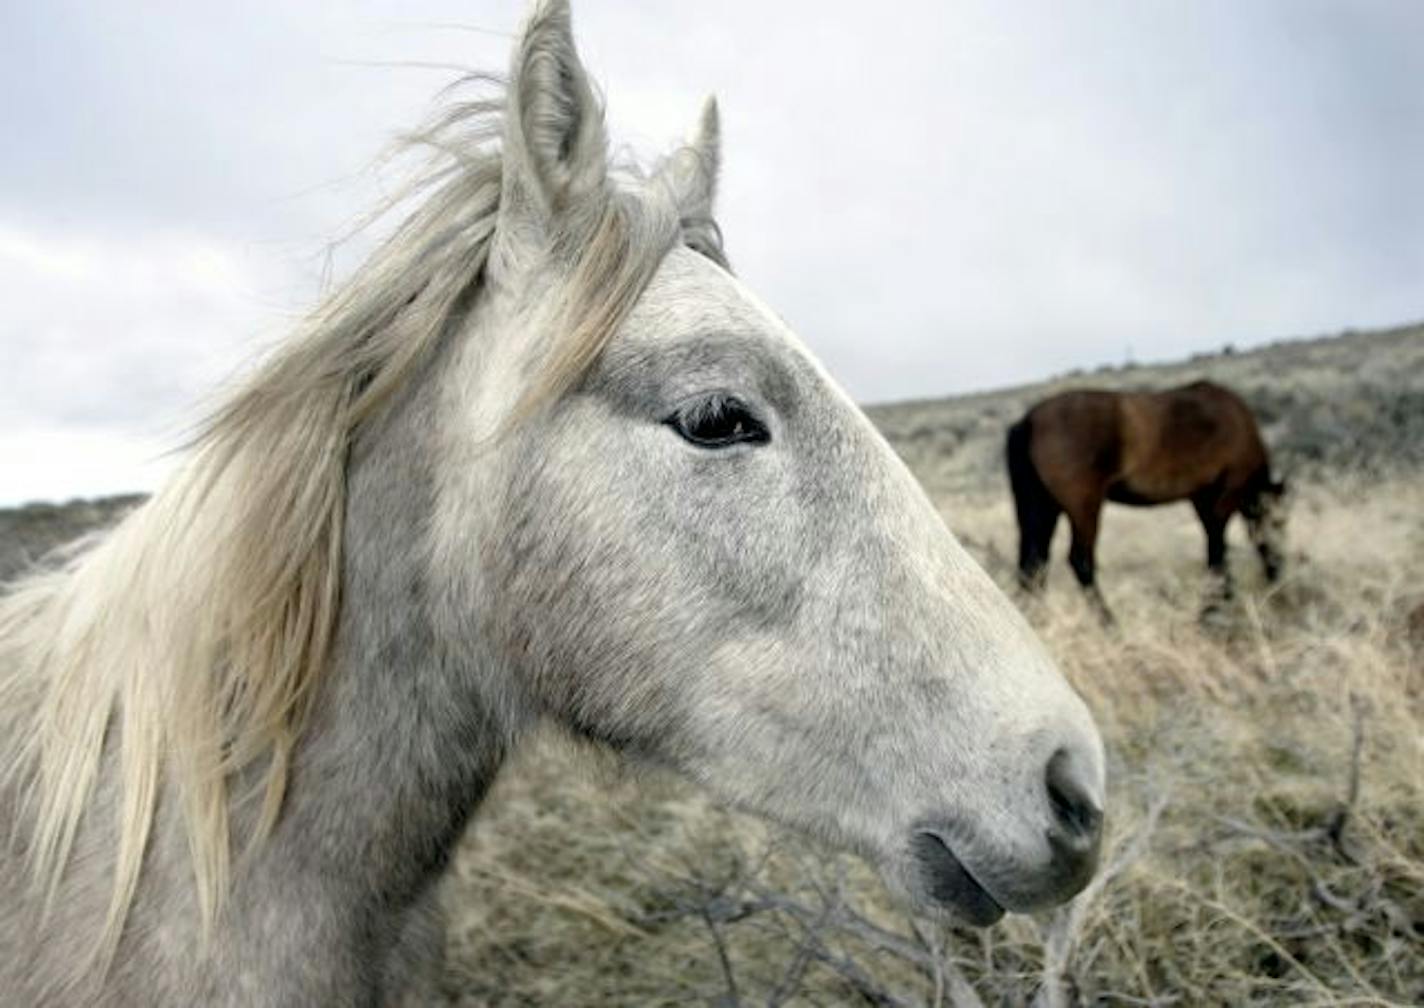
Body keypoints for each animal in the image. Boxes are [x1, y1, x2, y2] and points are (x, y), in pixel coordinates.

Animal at [1002, 381, 1292, 617]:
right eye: (1280, 523)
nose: (1277, 571)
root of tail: (1028, 421)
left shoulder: (1201, 499)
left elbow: (1213, 543)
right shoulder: (1226, 494)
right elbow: (1218, 548)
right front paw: (1214, 606)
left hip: (1042, 507)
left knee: (1033, 564)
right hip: (1084, 505)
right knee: (1080, 561)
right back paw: (1111, 626)